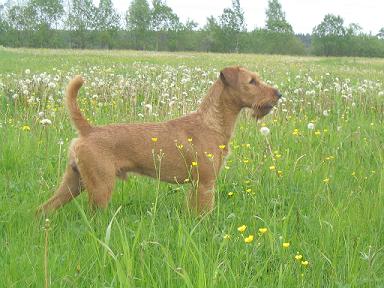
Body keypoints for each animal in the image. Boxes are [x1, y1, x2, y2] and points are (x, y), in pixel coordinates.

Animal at [36, 66, 282, 215]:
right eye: (252, 81)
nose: (278, 94)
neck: (211, 122)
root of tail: (89, 131)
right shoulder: (206, 183)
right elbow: (205, 213)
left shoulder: (196, 185)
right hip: (100, 187)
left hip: (73, 182)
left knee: (43, 209)